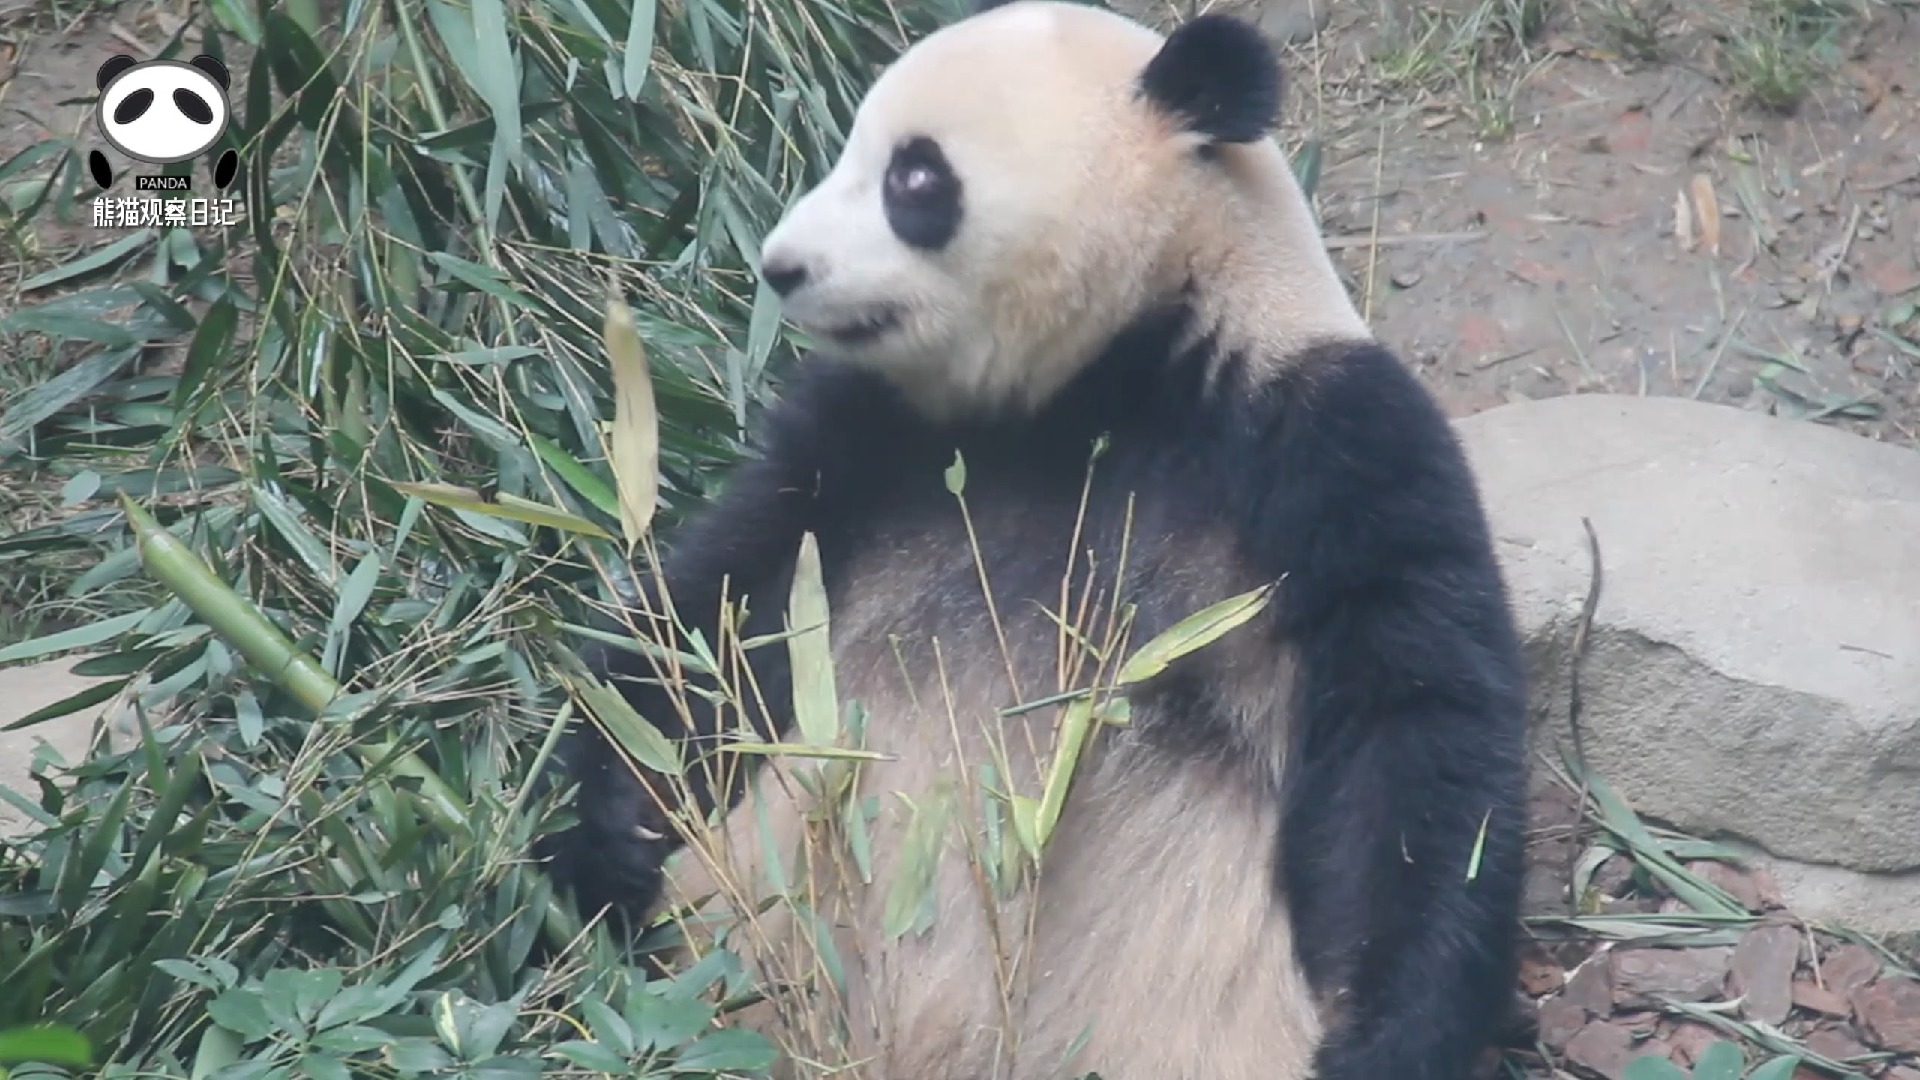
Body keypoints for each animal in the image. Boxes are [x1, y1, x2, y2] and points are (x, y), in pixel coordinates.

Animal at [541, 2, 1528, 1076]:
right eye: (849, 148)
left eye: (913, 177)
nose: (782, 266)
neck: (1110, 371)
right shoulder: (866, 444)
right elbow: (723, 612)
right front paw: (616, 829)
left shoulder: (1325, 447)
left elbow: (1411, 733)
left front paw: (1381, 1037)